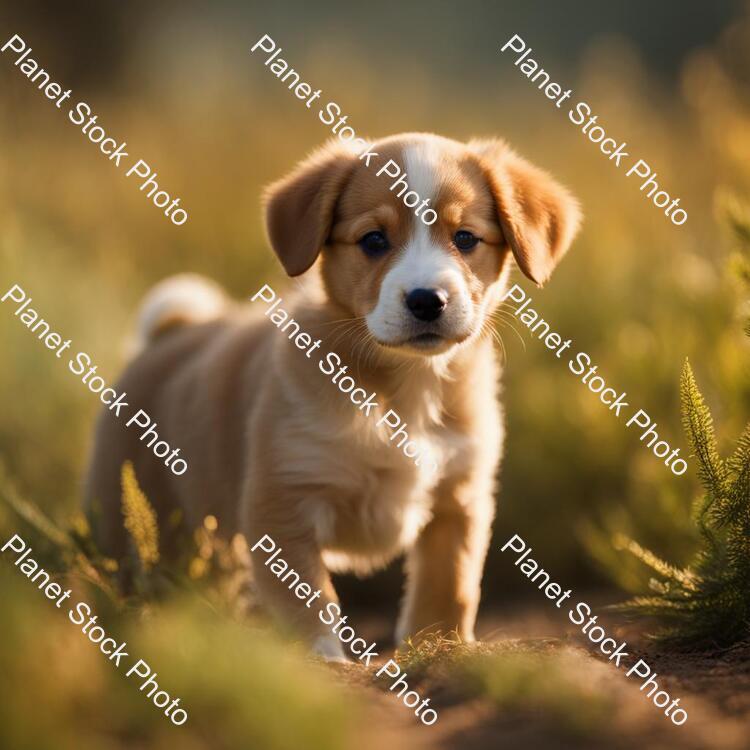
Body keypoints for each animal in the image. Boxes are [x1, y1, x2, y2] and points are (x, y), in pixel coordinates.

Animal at [86, 132, 580, 660]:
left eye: (465, 237)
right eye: (373, 240)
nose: (426, 300)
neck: (405, 389)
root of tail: (171, 334)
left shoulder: (458, 499)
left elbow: (449, 589)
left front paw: (439, 649)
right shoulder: (283, 501)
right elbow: (309, 602)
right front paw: (323, 662)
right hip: (130, 526)